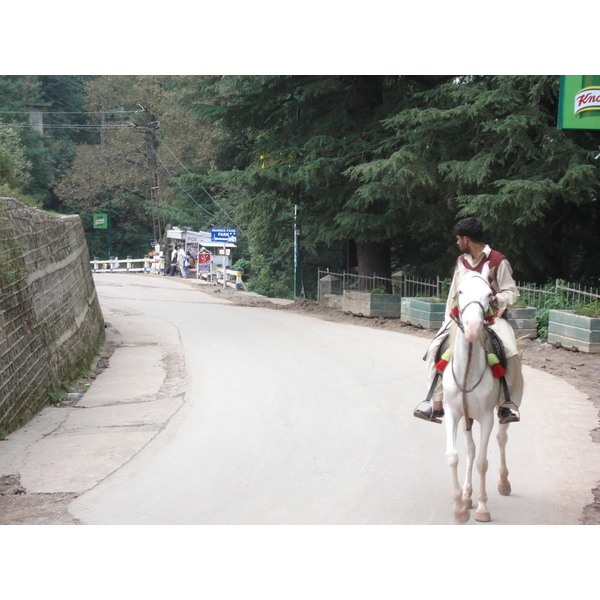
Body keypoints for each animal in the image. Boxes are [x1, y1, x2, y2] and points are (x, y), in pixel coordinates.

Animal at [440, 264, 510, 524]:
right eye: (460, 291)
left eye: (489, 295)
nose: (472, 327)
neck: (468, 369)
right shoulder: (453, 413)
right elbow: (454, 455)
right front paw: (460, 507)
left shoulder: (487, 417)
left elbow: (482, 462)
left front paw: (482, 508)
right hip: (467, 418)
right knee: (469, 449)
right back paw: (467, 495)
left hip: (503, 412)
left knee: (501, 439)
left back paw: (503, 483)